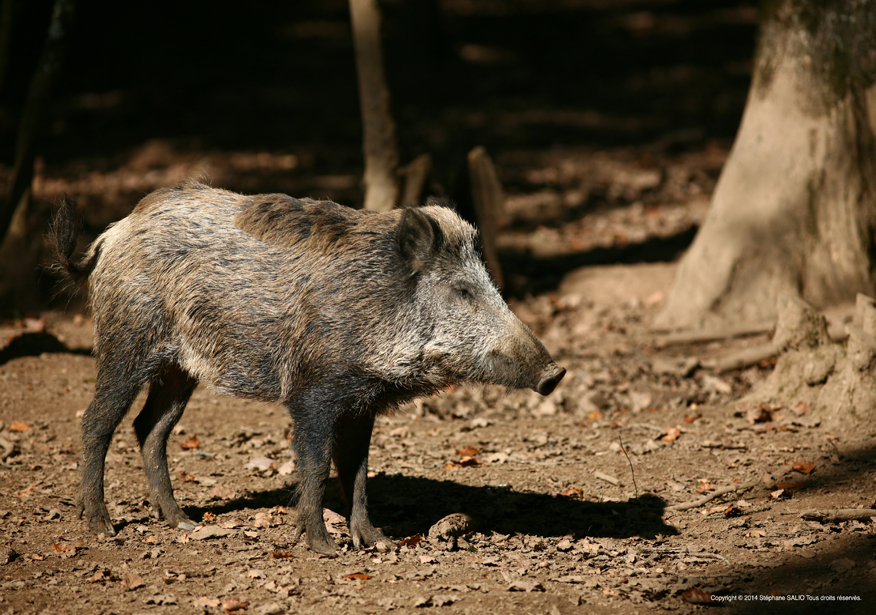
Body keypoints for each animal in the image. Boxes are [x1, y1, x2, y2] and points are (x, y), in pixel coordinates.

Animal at [49, 181, 565, 555]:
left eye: (490, 283)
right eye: (462, 290)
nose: (555, 373)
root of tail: (110, 236)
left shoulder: (362, 403)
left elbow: (357, 472)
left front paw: (377, 542)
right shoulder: (313, 392)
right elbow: (316, 466)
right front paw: (324, 549)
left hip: (180, 369)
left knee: (149, 428)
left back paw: (183, 522)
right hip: (126, 343)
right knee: (96, 422)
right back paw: (101, 527)